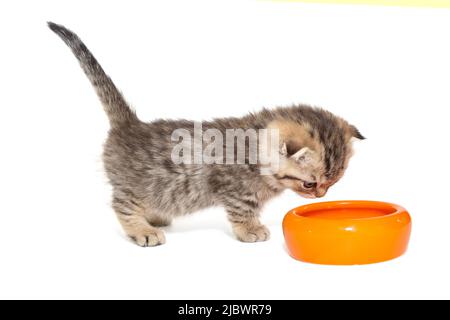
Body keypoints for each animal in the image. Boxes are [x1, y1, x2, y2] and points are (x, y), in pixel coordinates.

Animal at [48, 23, 366, 248]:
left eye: (332, 182)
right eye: (310, 183)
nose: (321, 195)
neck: (256, 150)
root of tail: (129, 125)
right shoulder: (235, 190)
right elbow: (242, 210)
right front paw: (250, 229)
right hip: (133, 186)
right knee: (121, 205)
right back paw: (142, 230)